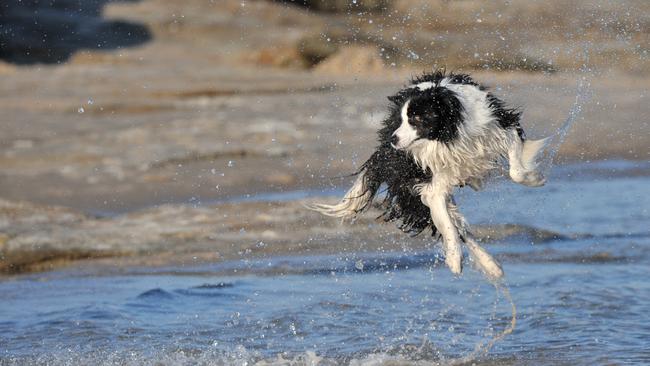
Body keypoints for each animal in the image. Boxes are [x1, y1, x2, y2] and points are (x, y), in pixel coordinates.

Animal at [308, 70, 548, 278]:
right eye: (400, 120)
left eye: (416, 119)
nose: (393, 139)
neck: (448, 135)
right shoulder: (430, 183)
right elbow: (447, 223)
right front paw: (454, 260)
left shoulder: (499, 125)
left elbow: (516, 170)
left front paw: (535, 179)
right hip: (409, 190)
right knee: (457, 226)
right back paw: (488, 264)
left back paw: (492, 266)